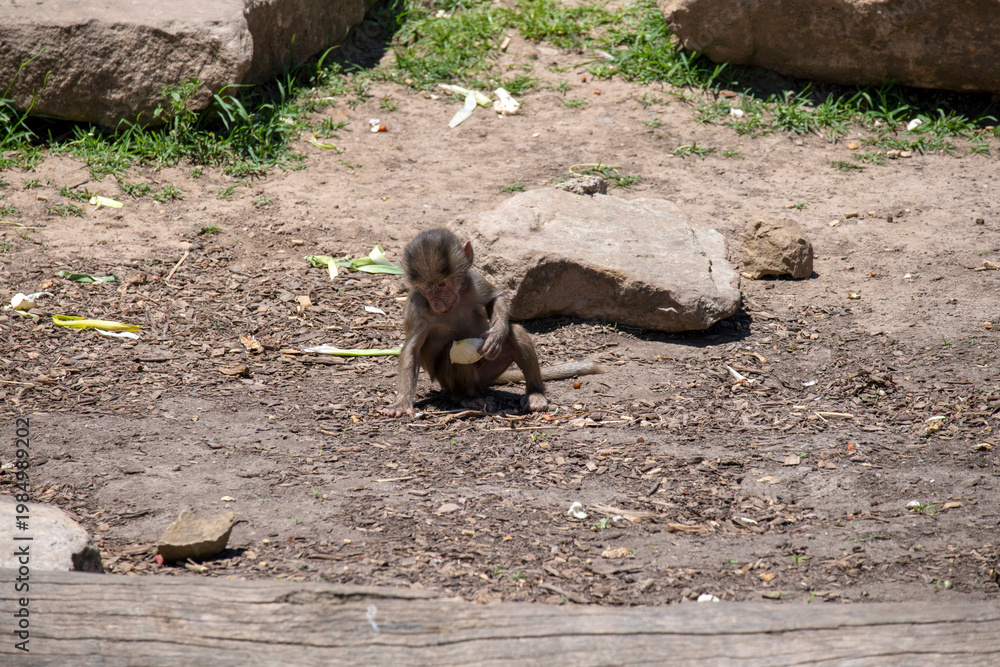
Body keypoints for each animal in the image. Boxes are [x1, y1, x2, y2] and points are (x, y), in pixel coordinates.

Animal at [381, 228, 605, 417]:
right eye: (427, 289)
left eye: (442, 284)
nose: (436, 304)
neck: (453, 303)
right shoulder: (418, 307)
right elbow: (412, 350)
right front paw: (401, 404)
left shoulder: (472, 281)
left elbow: (495, 298)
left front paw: (497, 335)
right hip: (455, 381)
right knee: (454, 353)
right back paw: (468, 399)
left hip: (489, 371)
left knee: (516, 333)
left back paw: (535, 393)